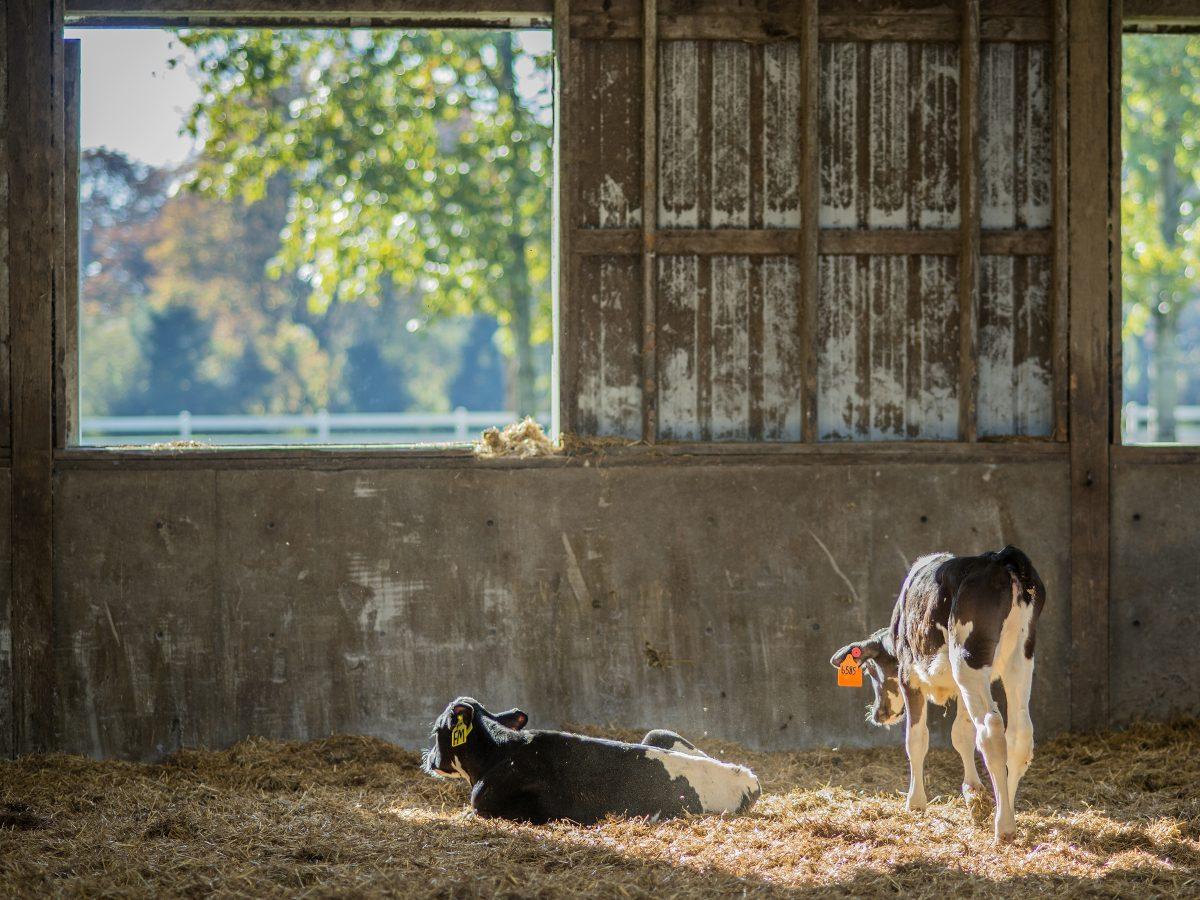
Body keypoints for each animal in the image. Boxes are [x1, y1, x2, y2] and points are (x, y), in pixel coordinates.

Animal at [830, 547, 1046, 849]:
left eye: (871, 669)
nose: (878, 714)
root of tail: (1000, 558)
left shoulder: (909, 677)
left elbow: (916, 739)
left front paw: (915, 802)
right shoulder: (960, 686)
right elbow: (961, 734)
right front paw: (974, 795)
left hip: (968, 660)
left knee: (990, 729)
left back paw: (1003, 826)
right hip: (1019, 657)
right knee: (1019, 733)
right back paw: (1009, 809)